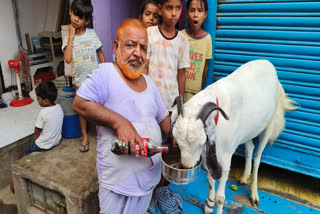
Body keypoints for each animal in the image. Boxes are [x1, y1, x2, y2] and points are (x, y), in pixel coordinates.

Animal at [171, 59, 298, 213]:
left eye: (201, 142)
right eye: (177, 140)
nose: (186, 166)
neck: (218, 120)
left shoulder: (225, 158)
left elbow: (220, 197)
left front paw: (215, 204)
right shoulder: (209, 155)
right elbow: (210, 181)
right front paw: (209, 205)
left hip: (268, 125)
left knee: (258, 156)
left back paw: (254, 194)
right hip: (248, 131)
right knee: (250, 147)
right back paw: (244, 177)